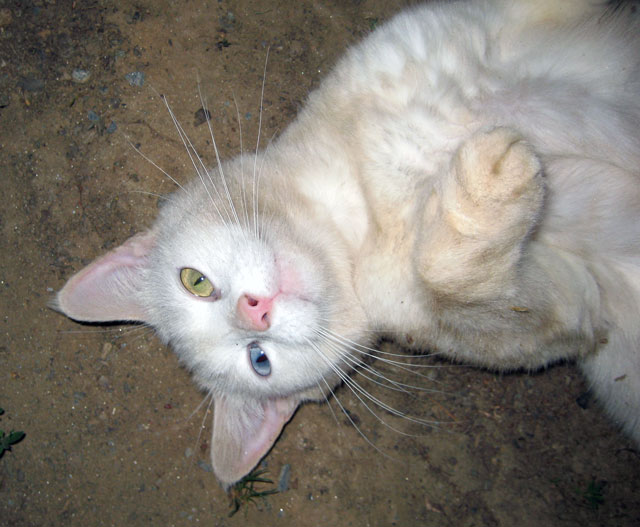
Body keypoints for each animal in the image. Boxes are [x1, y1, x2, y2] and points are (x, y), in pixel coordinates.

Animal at [55, 0, 640, 490]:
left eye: (194, 282)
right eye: (259, 361)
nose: (254, 311)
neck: (359, 208)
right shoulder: (573, 309)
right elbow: (460, 282)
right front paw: (493, 180)